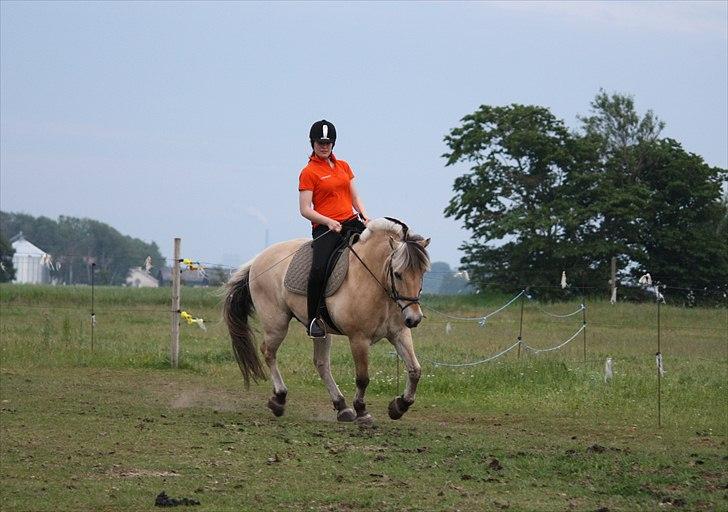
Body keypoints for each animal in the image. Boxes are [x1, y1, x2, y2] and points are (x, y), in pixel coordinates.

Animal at [220, 218, 426, 422]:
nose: (414, 318)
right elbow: (362, 378)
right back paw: (279, 398)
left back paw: (341, 406)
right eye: (398, 274)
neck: (374, 282)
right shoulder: (358, 339)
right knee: (268, 352)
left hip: (321, 330)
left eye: (422, 273)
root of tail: (258, 258)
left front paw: (400, 406)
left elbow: (415, 370)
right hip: (276, 324)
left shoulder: (399, 333)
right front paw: (362, 411)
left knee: (321, 364)